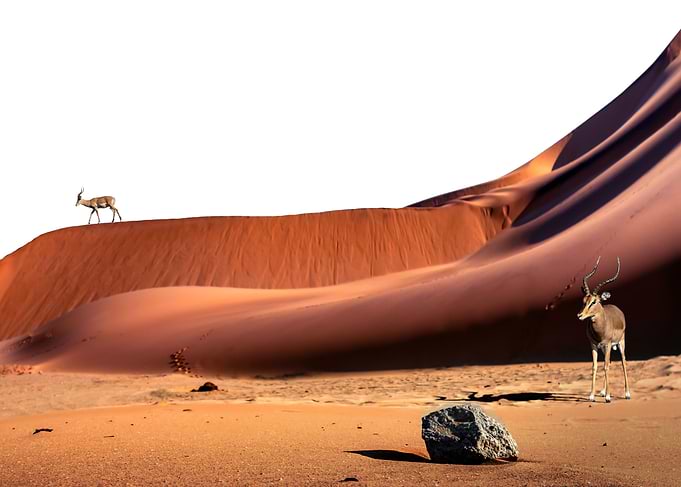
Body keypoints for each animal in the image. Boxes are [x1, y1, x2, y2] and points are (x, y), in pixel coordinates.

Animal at [578, 256, 631, 403]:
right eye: (584, 300)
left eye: (594, 301)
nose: (579, 315)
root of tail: (617, 309)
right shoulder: (594, 345)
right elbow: (595, 366)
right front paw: (591, 396)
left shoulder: (607, 344)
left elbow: (605, 366)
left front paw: (608, 397)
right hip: (605, 348)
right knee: (610, 363)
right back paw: (601, 391)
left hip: (620, 343)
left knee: (623, 362)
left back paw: (627, 394)